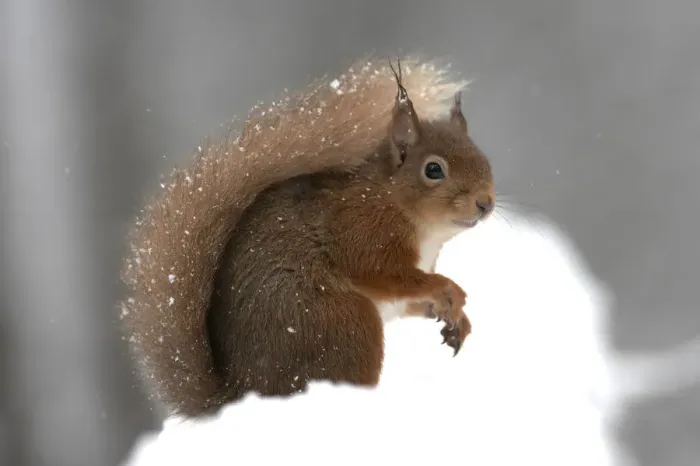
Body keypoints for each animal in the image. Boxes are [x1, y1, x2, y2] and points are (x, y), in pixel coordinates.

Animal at [120, 56, 495, 418]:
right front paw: (448, 288)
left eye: (483, 159)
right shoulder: (359, 230)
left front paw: (455, 317)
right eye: (433, 170)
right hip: (342, 323)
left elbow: (408, 301)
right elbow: (383, 273)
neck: (398, 203)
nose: (486, 203)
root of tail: (242, 393)